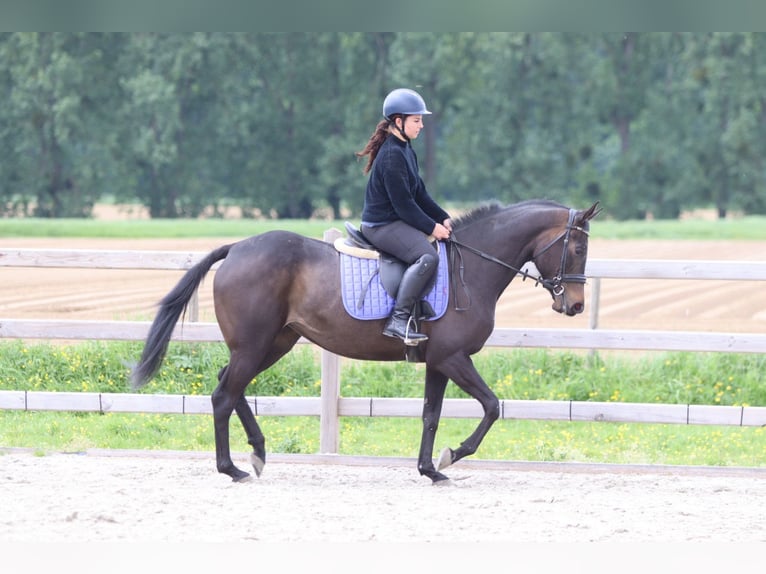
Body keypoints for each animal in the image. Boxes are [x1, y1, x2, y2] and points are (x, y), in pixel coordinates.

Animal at [131, 199, 600, 484]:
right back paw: (231, 468)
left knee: (229, 385)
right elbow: (491, 406)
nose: (575, 305)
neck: (473, 267)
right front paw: (453, 454)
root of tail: (238, 248)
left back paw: (258, 454)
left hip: (273, 343)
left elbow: (431, 415)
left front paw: (430, 469)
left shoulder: (438, 361)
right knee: (223, 395)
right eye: (577, 248)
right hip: (255, 345)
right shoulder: (454, 358)